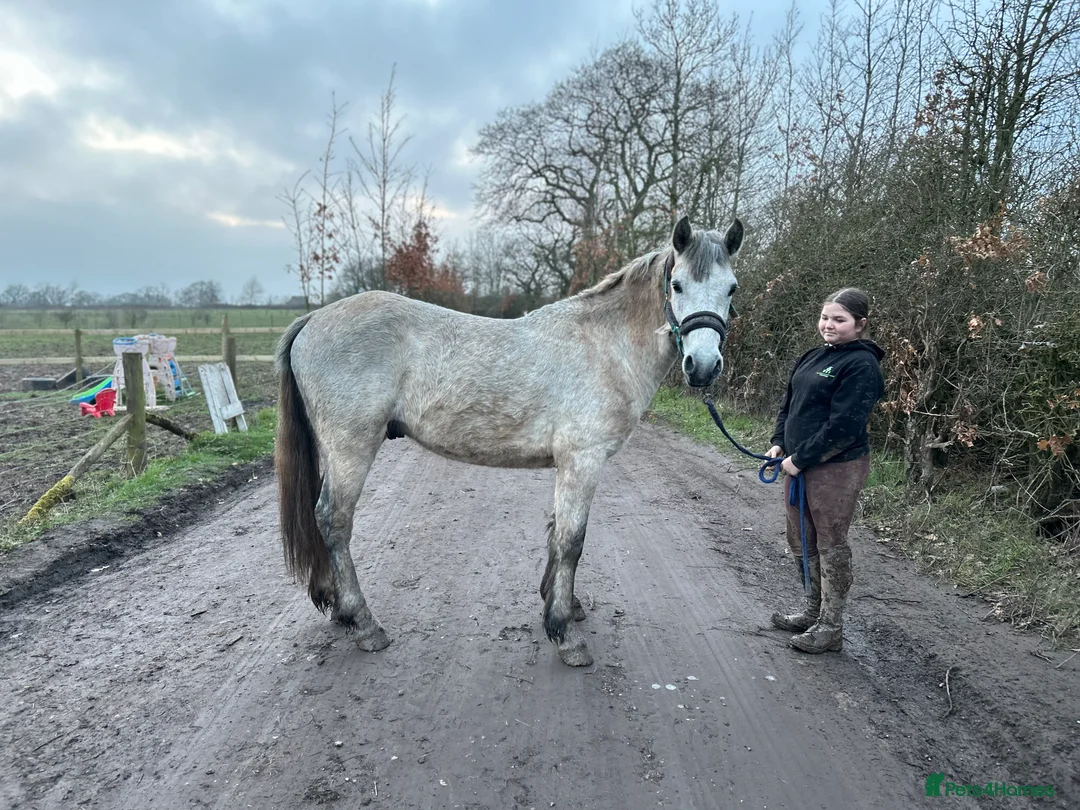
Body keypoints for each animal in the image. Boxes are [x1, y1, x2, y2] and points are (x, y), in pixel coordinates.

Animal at [275, 215, 743, 666]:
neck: (604, 347)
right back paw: (364, 623)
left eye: (732, 289)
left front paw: (561, 606)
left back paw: (338, 607)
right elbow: (572, 541)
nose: (703, 367)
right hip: (351, 448)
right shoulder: (583, 460)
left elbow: (556, 533)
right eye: (677, 285)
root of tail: (314, 318)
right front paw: (564, 633)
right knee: (333, 520)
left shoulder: (568, 464)